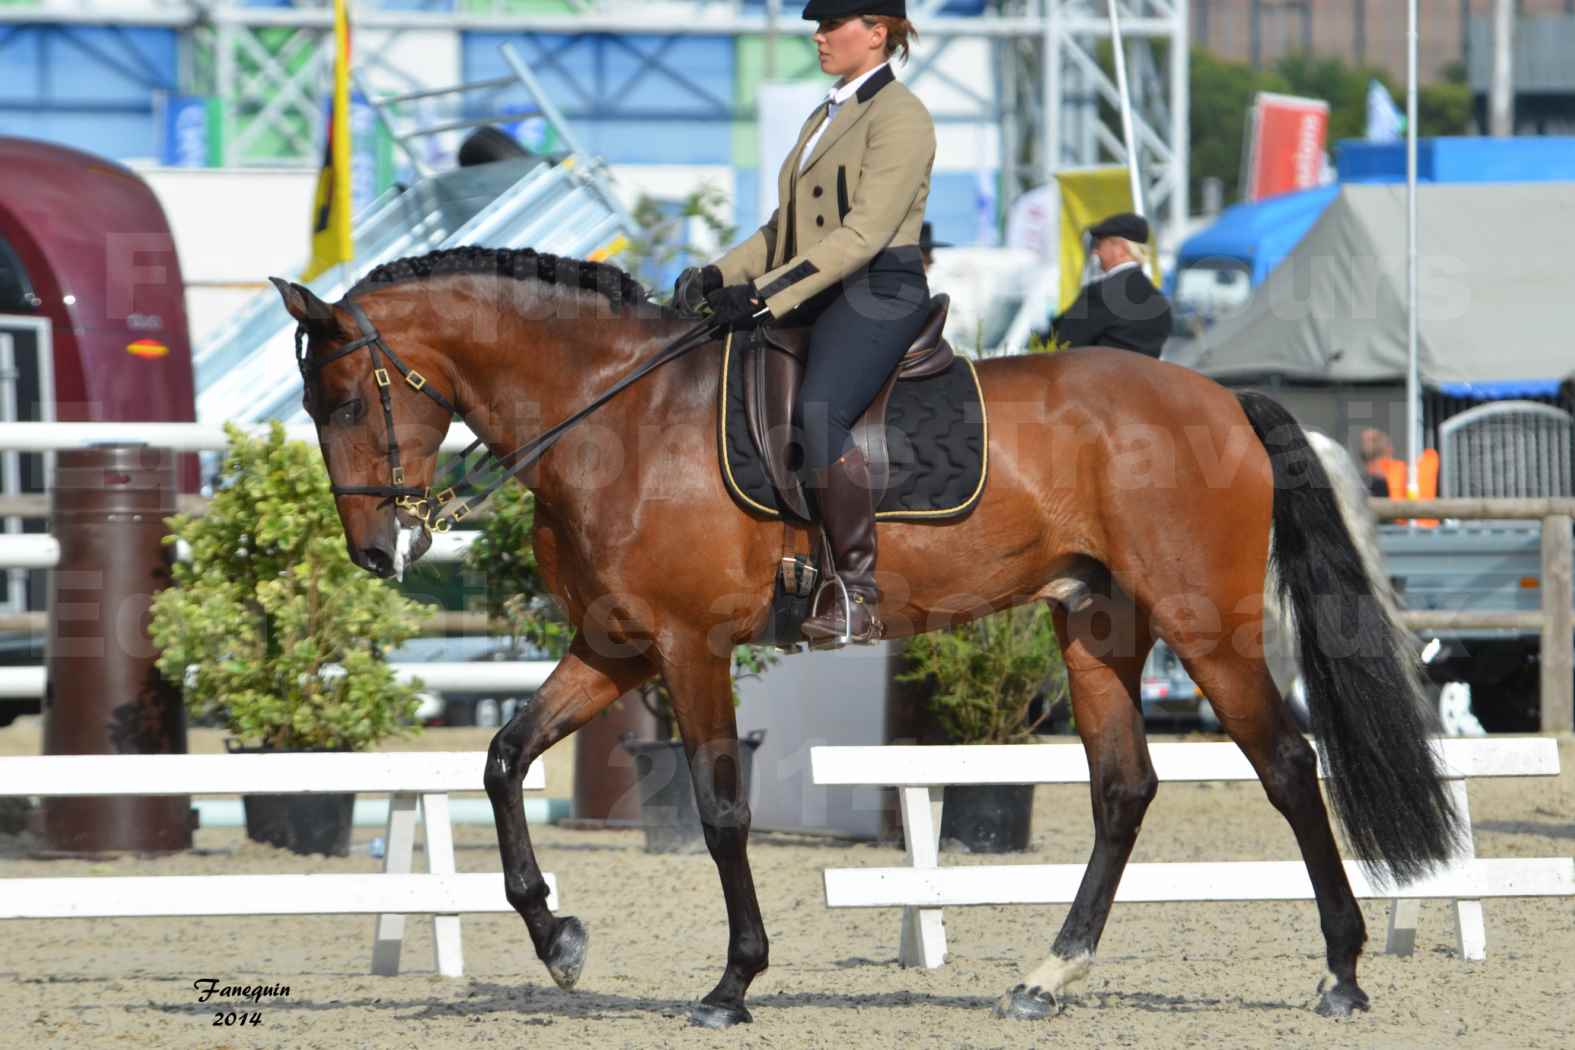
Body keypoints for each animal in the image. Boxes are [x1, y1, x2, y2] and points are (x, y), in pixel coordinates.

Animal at [274, 247, 1461, 1026]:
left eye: (345, 399)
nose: (375, 552)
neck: (617, 416)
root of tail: (1219, 399)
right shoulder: (617, 648)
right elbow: (504, 756)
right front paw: (558, 940)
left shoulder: (688, 648)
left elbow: (718, 807)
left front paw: (732, 982)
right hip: (1097, 628)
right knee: (1124, 789)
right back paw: (1048, 976)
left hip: (1203, 624)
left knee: (1289, 765)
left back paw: (1343, 972)